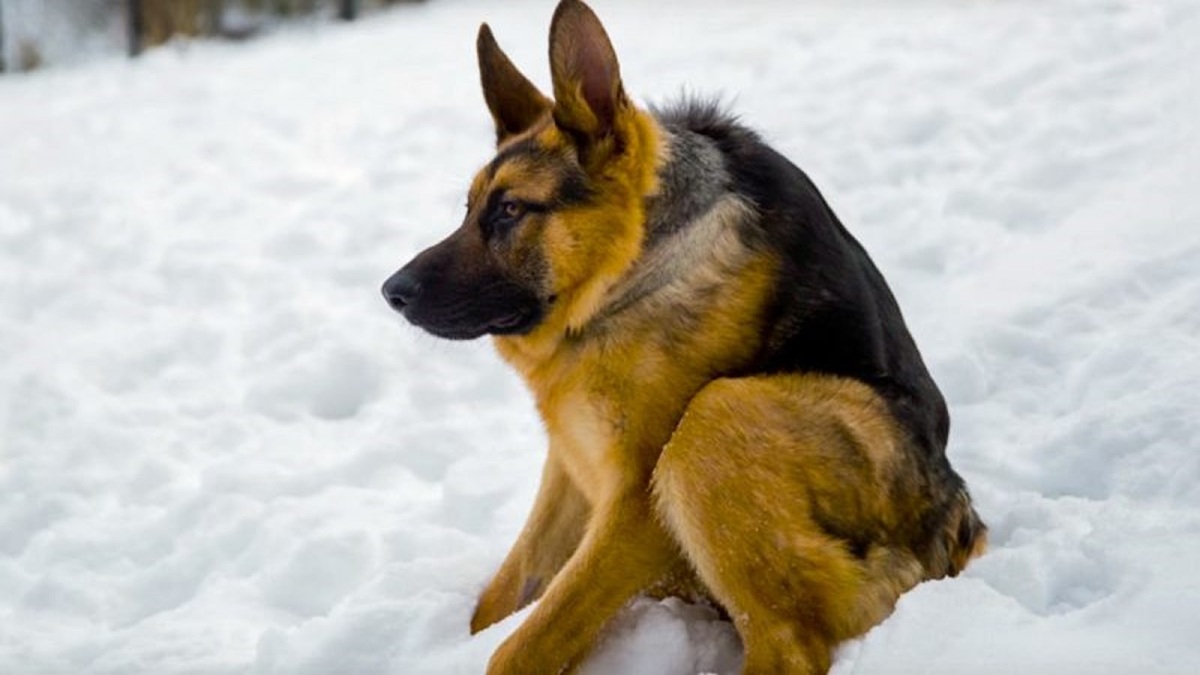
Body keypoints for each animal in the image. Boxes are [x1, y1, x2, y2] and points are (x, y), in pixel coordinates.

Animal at [384, 2, 984, 667]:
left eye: (511, 210)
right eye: (469, 210)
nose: (391, 291)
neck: (633, 270)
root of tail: (958, 529)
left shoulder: (636, 508)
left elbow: (521, 646)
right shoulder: (569, 463)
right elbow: (500, 599)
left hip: (718, 417)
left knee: (789, 644)